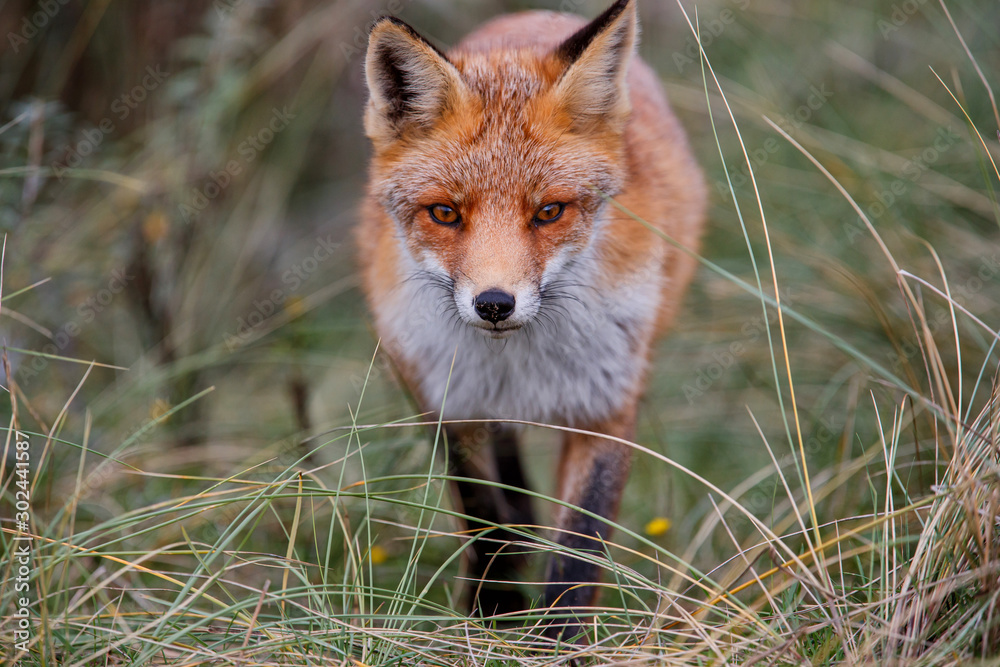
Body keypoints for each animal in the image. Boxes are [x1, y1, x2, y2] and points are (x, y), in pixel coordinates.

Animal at [358, 0, 706, 633]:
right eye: (445, 213)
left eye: (548, 212)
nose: (495, 303)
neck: (518, 364)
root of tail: (532, 15)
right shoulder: (449, 403)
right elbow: (483, 518)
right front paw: (495, 613)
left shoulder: (606, 404)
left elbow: (579, 550)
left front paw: (556, 639)